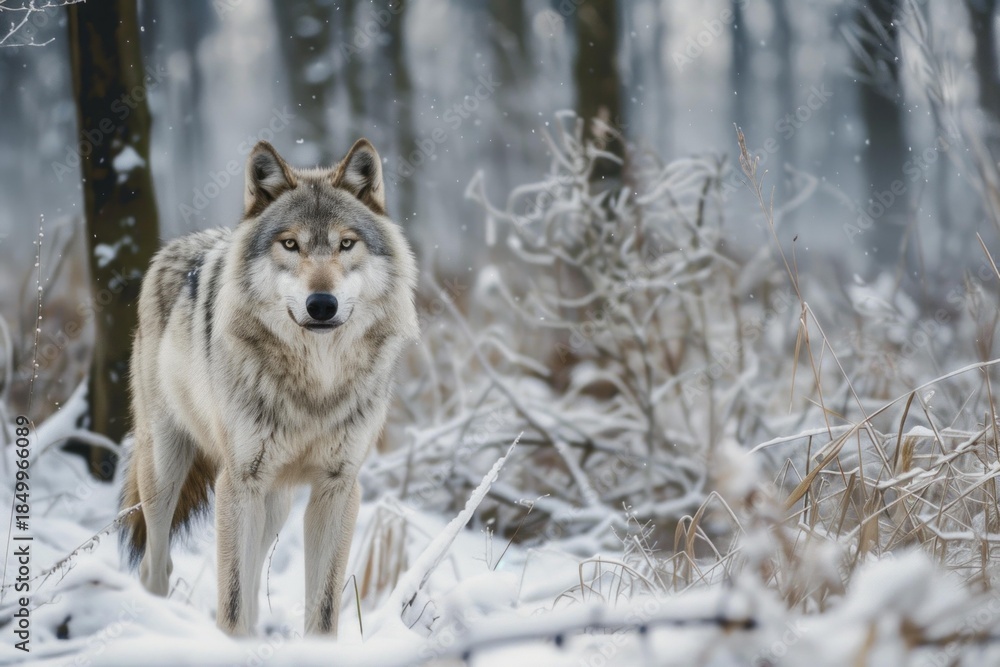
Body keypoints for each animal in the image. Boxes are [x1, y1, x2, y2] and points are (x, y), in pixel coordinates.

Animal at [120, 139, 418, 636]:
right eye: (290, 244)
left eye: (346, 243)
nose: (322, 304)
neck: (315, 382)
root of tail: (178, 244)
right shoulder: (238, 483)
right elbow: (232, 603)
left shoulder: (338, 488)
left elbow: (322, 609)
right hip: (165, 472)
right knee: (155, 566)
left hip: (273, 505)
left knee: (254, 575)